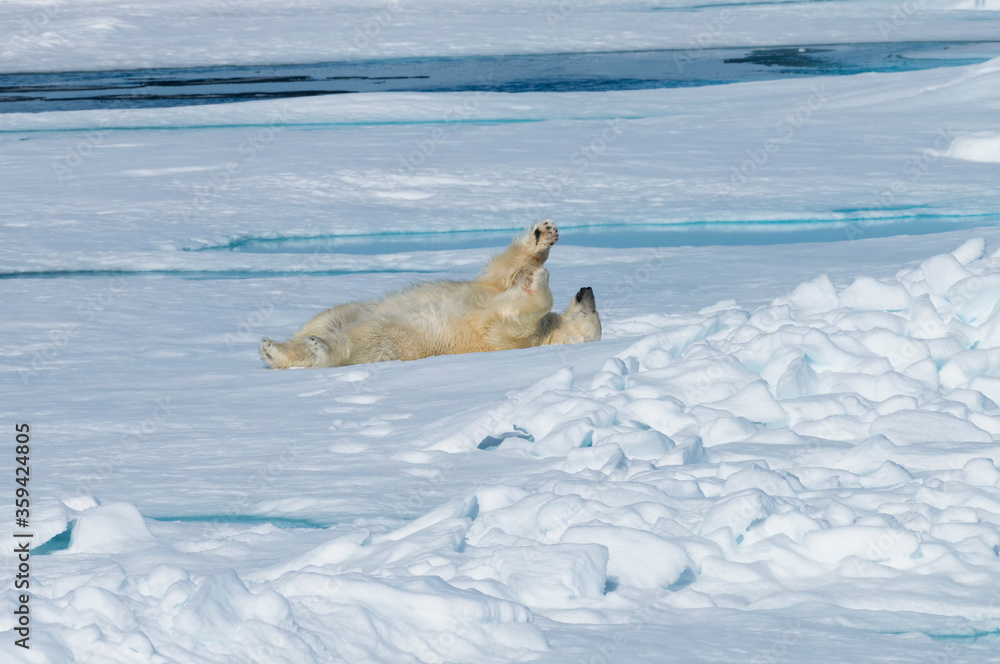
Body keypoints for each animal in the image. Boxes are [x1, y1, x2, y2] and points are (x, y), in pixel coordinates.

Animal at [259, 219, 601, 369]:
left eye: (592, 313)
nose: (588, 289)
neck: (546, 332)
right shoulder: (492, 292)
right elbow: (502, 275)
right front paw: (543, 236)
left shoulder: (510, 338)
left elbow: (503, 319)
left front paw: (540, 280)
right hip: (356, 309)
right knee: (329, 317)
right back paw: (275, 347)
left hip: (398, 338)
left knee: (360, 339)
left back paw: (311, 349)